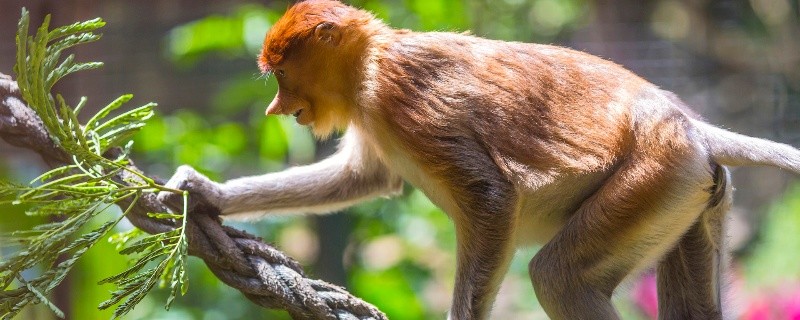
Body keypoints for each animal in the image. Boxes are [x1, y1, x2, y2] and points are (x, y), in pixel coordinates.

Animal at [156, 1, 800, 318]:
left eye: (281, 73)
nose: (275, 107)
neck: (372, 59)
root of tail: (687, 125)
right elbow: (362, 178)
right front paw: (200, 190)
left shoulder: (400, 96)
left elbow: (489, 196)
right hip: (691, 191)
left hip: (654, 176)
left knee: (557, 277)